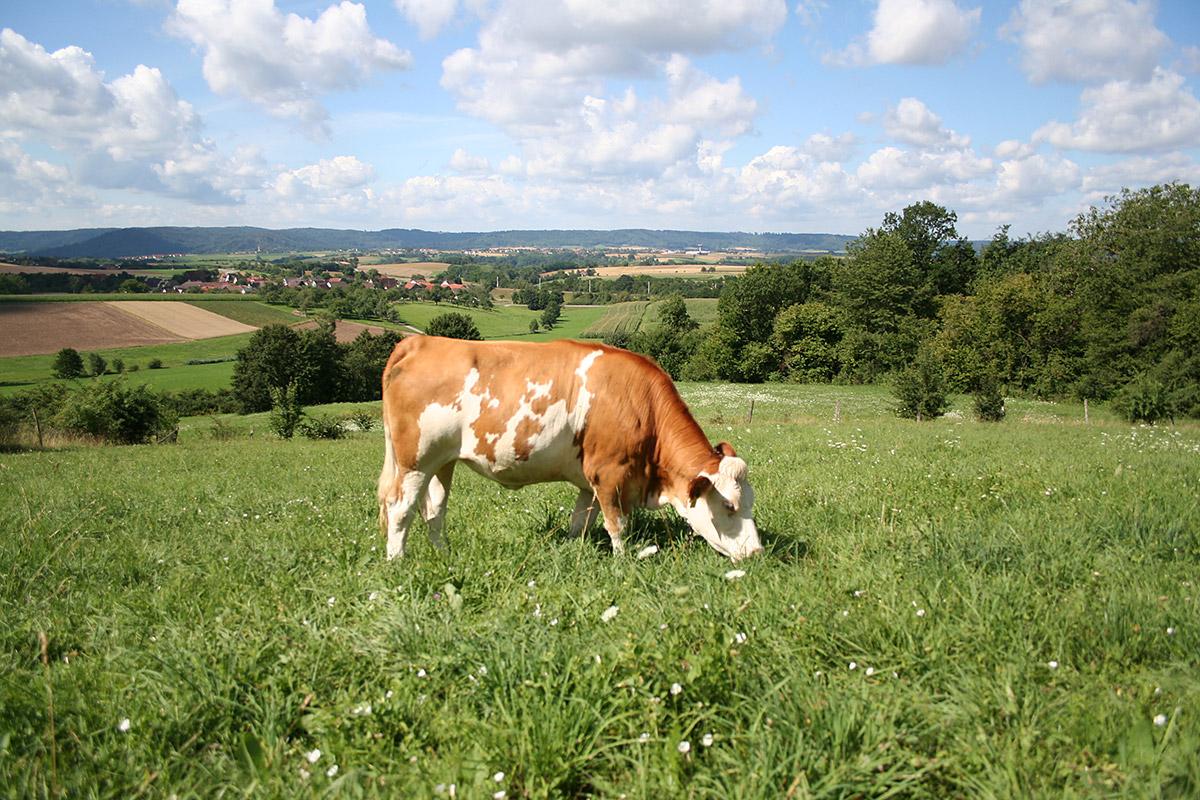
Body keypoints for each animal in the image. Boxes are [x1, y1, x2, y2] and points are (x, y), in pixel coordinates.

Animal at [377, 336, 763, 561]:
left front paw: (571, 552)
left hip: (442, 461)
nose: (757, 552)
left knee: (434, 510)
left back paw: (443, 554)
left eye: (750, 503)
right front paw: (623, 565)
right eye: (729, 506)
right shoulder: (609, 473)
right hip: (415, 461)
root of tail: (420, 340)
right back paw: (397, 561)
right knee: (400, 509)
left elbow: (581, 523)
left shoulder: (588, 482)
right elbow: (617, 525)